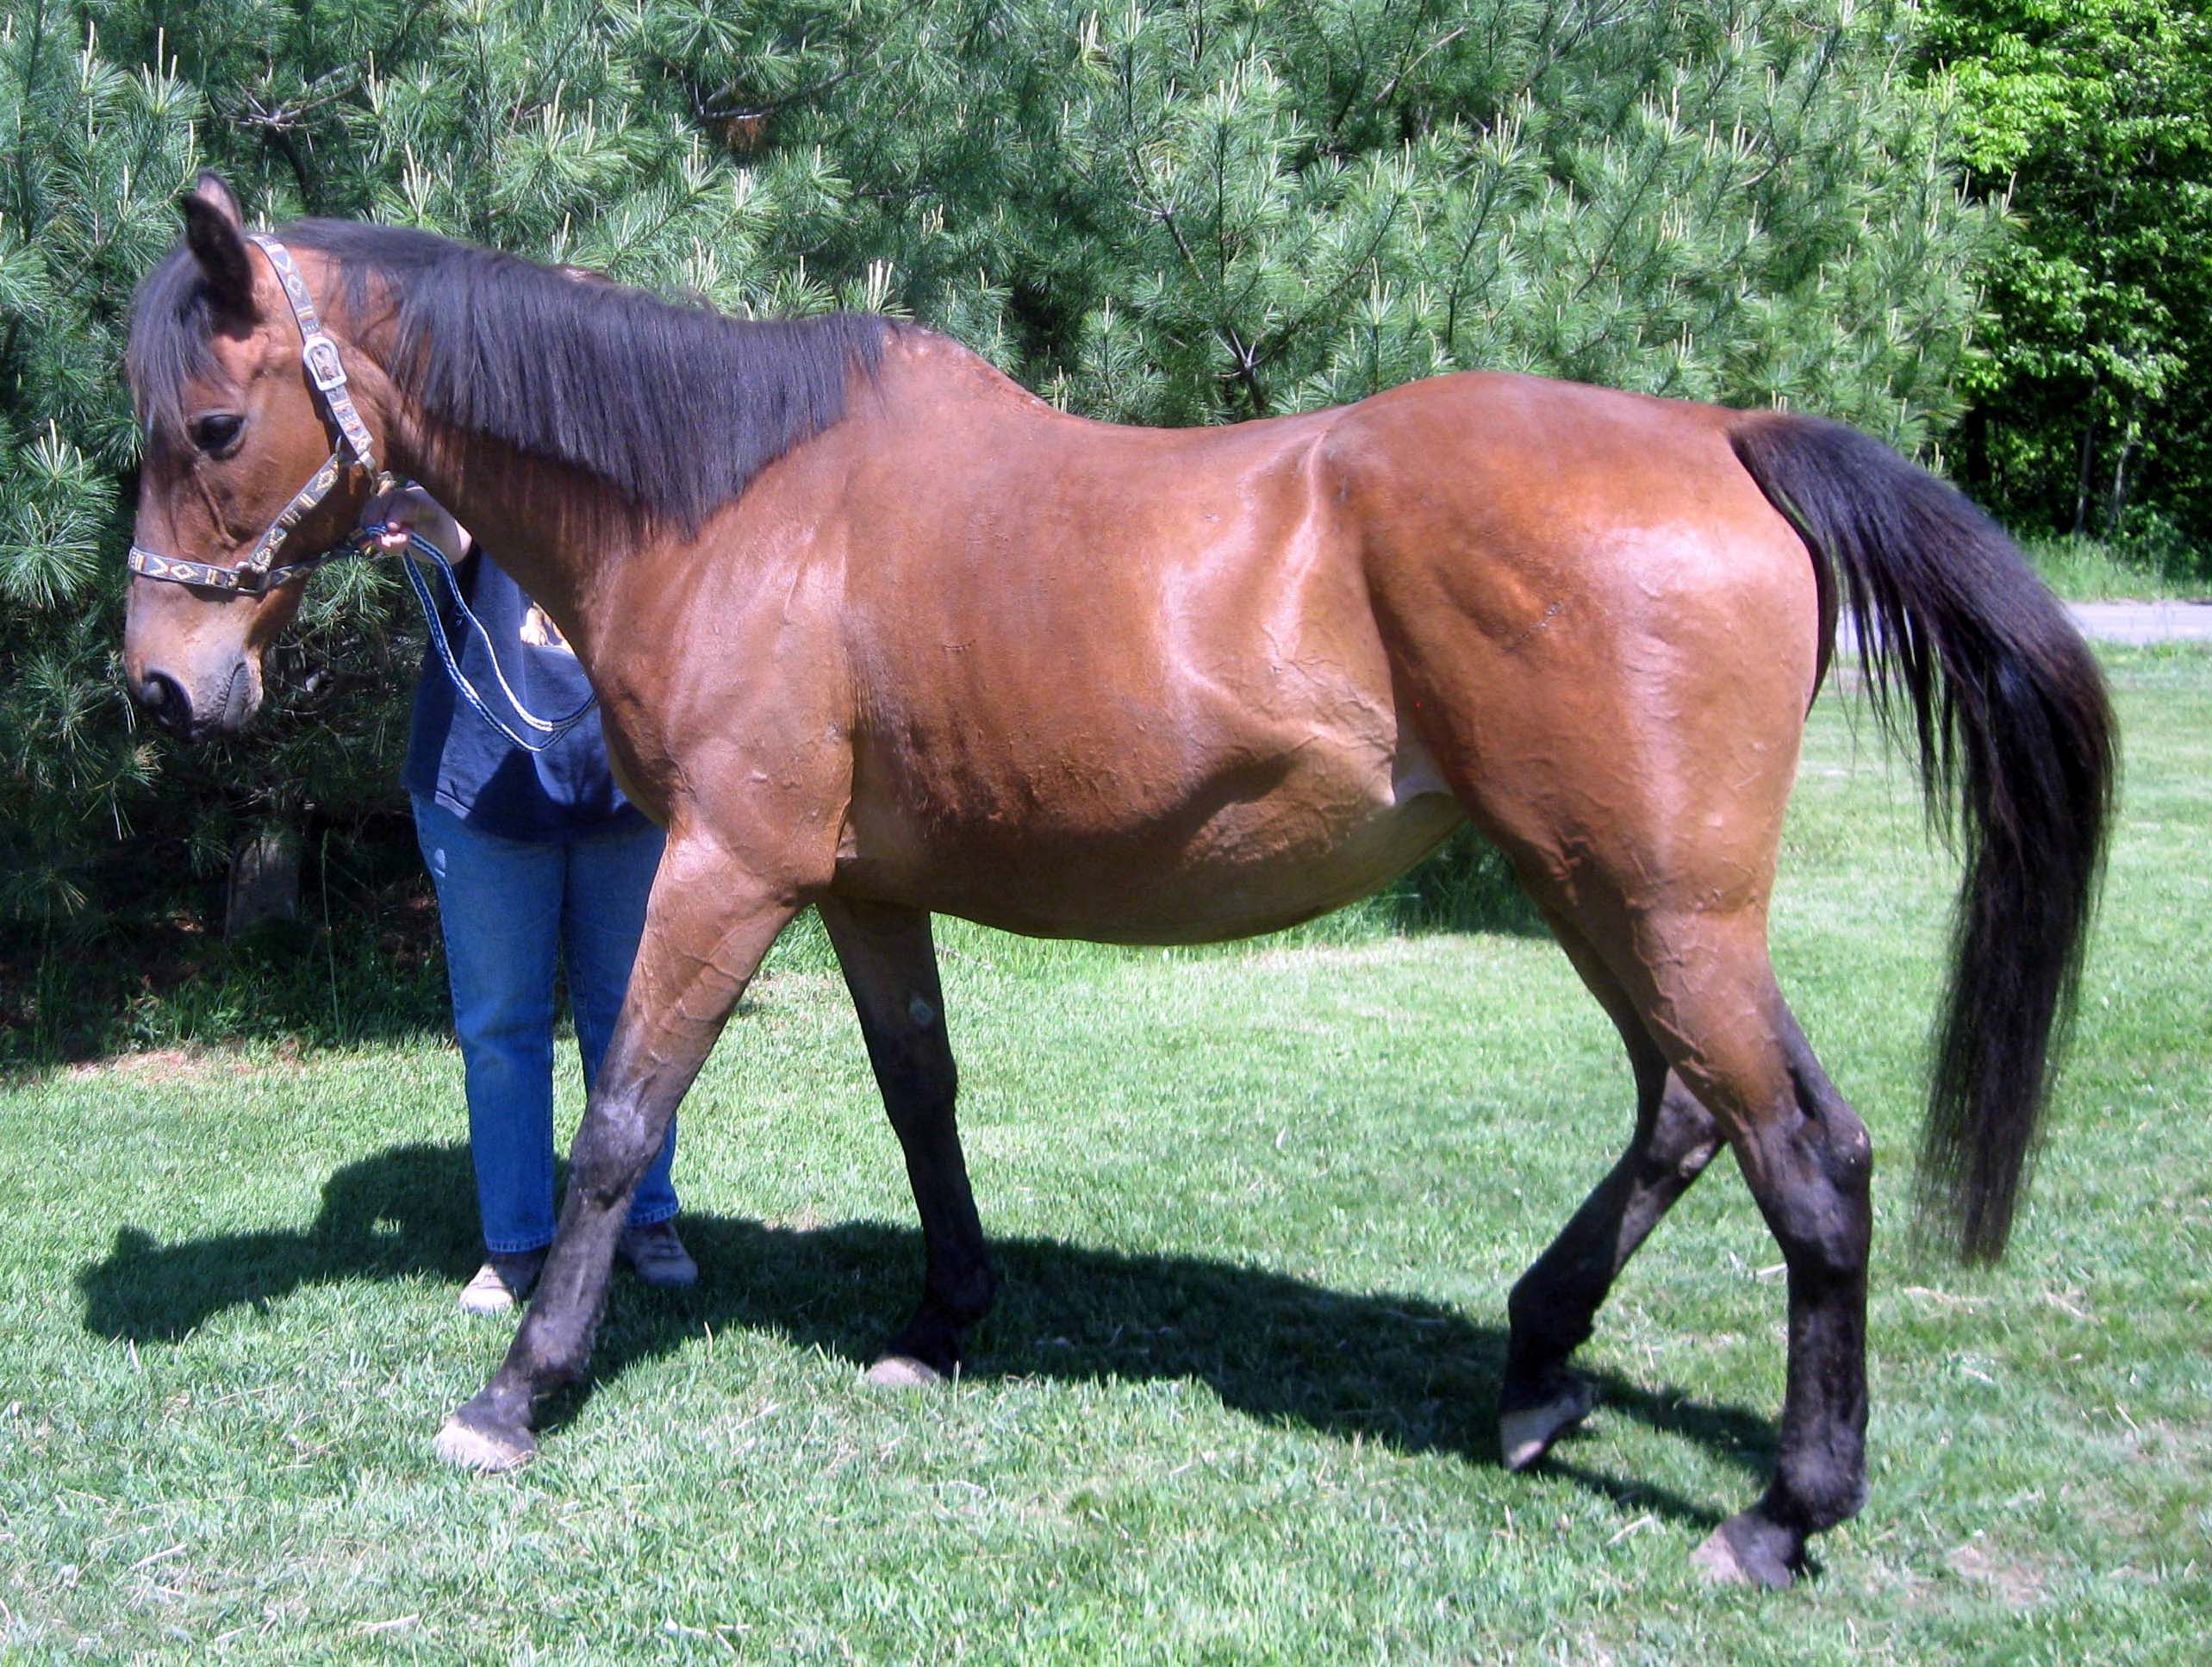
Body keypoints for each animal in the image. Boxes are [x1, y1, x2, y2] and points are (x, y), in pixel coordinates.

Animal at [119, 174, 2113, 1588]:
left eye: (210, 428)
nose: (161, 687)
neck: (732, 498)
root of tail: (1721, 434)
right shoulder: (861, 885)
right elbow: (919, 1094)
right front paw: (940, 1321)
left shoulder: (729, 865)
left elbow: (619, 1113)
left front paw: (519, 1391)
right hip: (1603, 896)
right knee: (1687, 1117)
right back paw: (1538, 1371)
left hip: (1651, 904)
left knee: (1807, 1160)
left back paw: (1781, 1507)